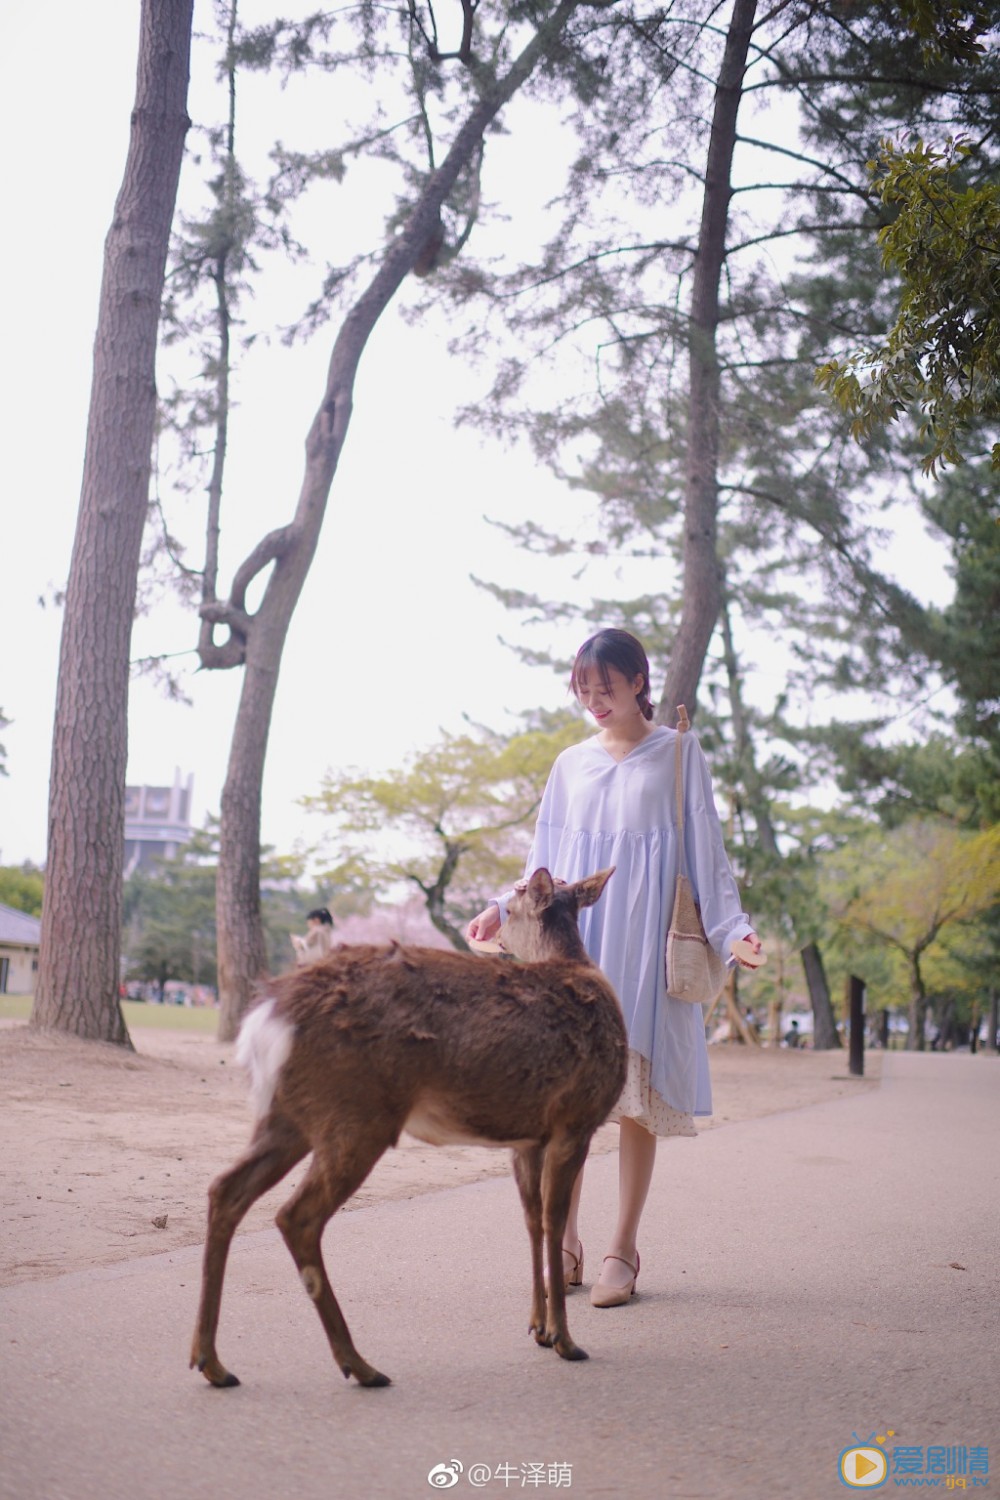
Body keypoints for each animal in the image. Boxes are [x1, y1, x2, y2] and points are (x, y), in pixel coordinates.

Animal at [188, 870, 626, 1392]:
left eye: (517, 894)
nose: (487, 923)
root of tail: (268, 1016)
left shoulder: (527, 1137)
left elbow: (532, 1220)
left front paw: (538, 1328)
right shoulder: (575, 1119)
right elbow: (554, 1220)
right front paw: (564, 1338)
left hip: (288, 1115)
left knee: (226, 1189)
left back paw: (212, 1362)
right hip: (357, 1113)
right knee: (296, 1215)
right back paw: (359, 1365)